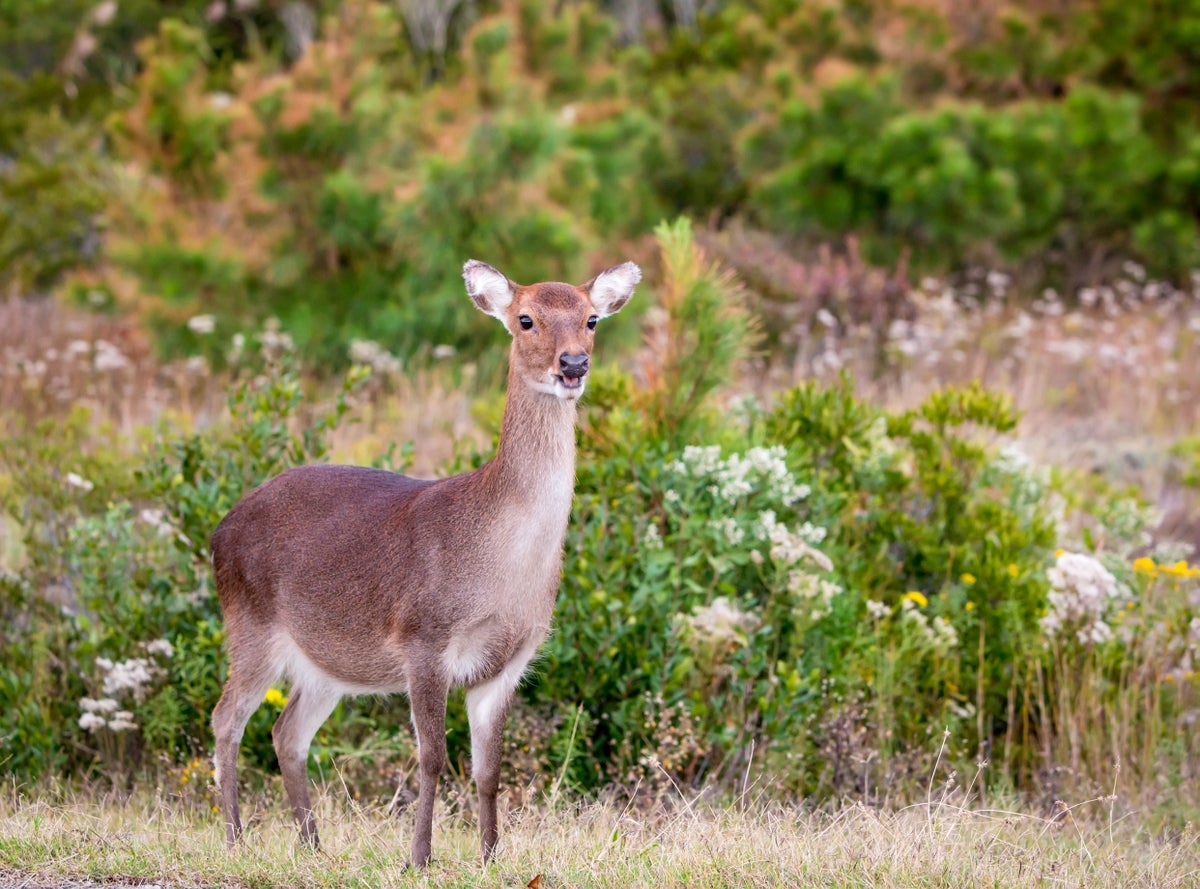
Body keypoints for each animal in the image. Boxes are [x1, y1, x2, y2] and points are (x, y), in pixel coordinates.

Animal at [208, 257, 638, 868]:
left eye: (592, 319)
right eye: (525, 319)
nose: (573, 364)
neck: (501, 567)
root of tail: (219, 531)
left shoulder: (509, 662)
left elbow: (489, 770)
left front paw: (490, 856)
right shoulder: (423, 640)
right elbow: (433, 756)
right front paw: (419, 856)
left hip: (327, 662)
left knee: (287, 732)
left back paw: (312, 846)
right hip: (250, 626)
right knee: (227, 720)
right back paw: (236, 839)